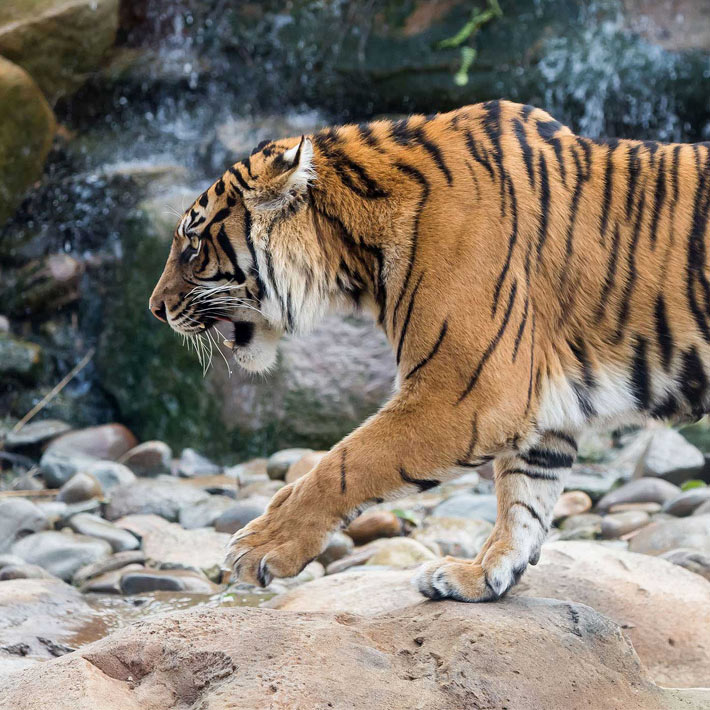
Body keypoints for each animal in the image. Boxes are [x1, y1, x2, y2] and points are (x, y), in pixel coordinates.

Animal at [149, 99, 710, 602]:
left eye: (193, 247)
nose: (155, 308)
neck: (357, 248)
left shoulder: (468, 394)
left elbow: (346, 463)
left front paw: (261, 546)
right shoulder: (542, 408)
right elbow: (523, 500)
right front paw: (481, 576)